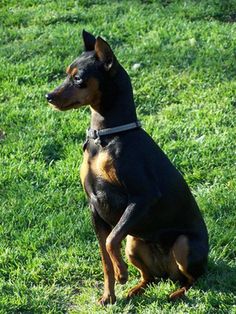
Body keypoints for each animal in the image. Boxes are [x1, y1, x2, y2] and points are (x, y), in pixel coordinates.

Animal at [46, 30, 208, 306]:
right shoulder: (94, 209)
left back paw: (177, 292)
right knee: (149, 277)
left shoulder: (142, 197)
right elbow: (105, 259)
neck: (105, 137)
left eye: (78, 79)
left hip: (184, 244)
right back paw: (137, 289)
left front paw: (121, 272)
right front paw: (109, 295)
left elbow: (112, 241)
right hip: (134, 241)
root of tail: (168, 272)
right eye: (66, 73)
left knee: (194, 279)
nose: (48, 96)